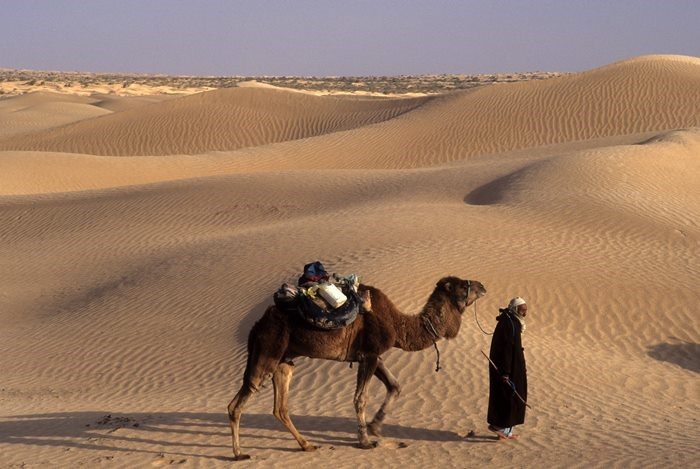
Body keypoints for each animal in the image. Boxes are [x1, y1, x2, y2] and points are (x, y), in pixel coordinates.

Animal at [227, 276, 484, 458]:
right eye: (462, 285)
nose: (482, 286)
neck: (397, 324)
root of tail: (258, 324)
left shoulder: (373, 357)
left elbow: (395, 385)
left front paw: (375, 427)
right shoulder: (369, 354)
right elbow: (361, 398)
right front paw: (365, 441)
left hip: (284, 361)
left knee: (279, 407)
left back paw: (307, 445)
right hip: (268, 351)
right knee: (239, 401)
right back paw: (239, 453)